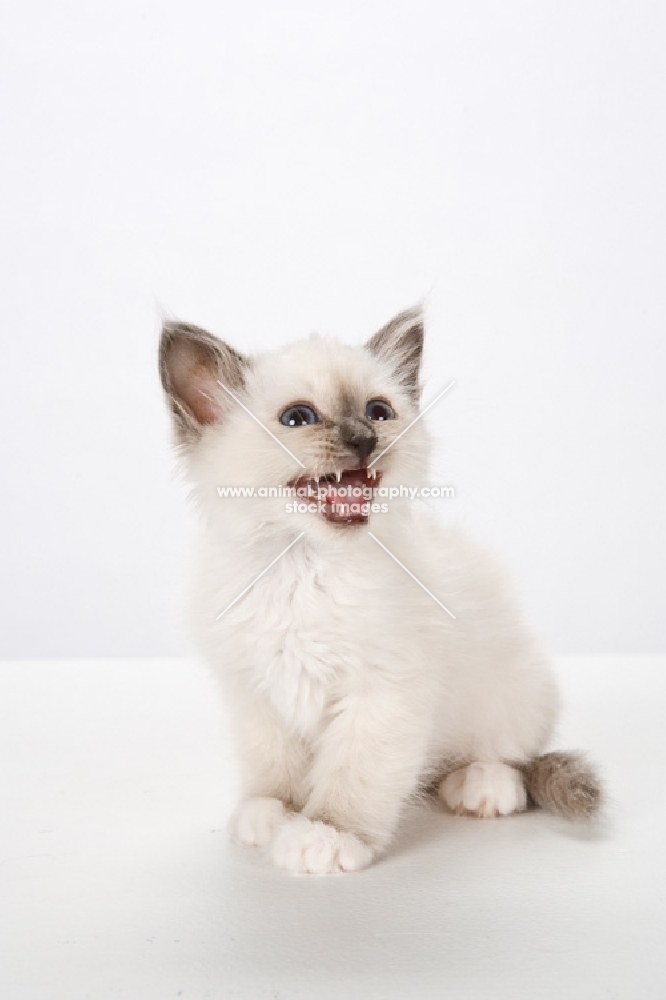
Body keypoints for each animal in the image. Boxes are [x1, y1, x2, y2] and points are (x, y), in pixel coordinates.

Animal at [158, 306, 600, 876]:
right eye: (297, 418)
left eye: (378, 410)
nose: (364, 438)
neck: (301, 564)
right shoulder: (256, 693)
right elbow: (274, 767)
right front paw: (273, 814)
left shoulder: (384, 693)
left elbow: (354, 776)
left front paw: (325, 835)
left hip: (512, 689)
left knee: (509, 759)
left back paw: (480, 786)